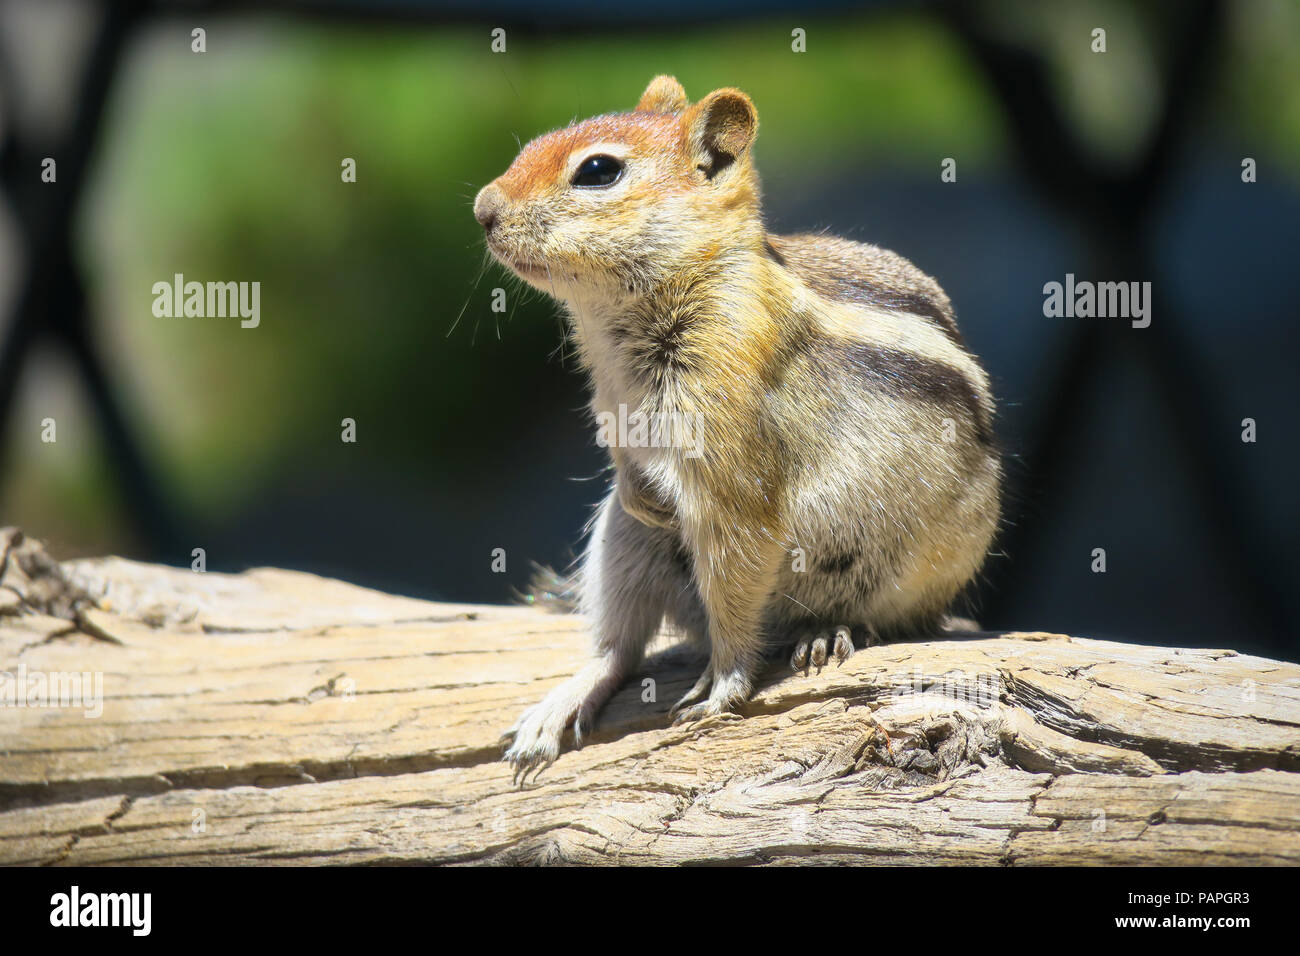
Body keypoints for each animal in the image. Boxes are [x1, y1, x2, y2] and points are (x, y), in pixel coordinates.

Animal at [473, 72, 998, 780]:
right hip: (623, 546)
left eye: (599, 171)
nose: (483, 209)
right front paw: (646, 494)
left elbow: (739, 565)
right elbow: (625, 463)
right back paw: (564, 700)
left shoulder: (730, 465)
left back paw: (825, 632)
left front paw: (723, 686)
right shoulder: (613, 404)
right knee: (619, 645)